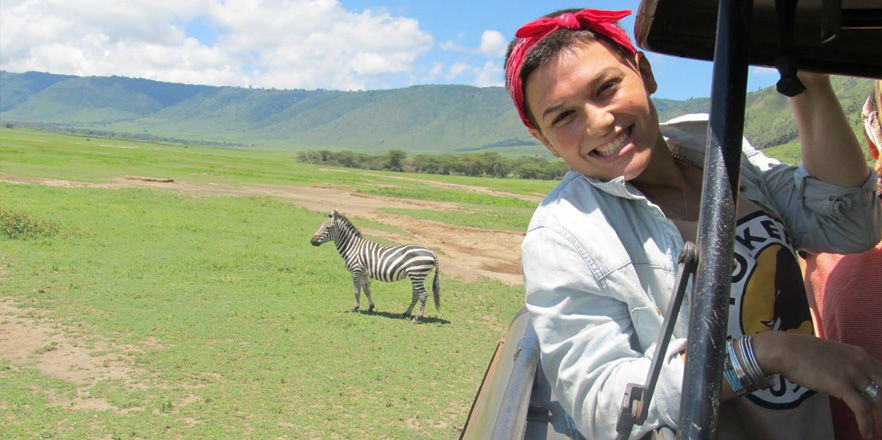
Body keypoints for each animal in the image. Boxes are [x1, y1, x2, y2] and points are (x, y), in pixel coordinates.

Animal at [312, 210, 440, 324]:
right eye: (320, 226)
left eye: (327, 228)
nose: (312, 241)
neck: (352, 247)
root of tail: (432, 252)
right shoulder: (363, 273)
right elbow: (367, 290)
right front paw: (371, 307)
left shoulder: (356, 271)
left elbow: (356, 291)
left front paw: (355, 308)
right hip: (415, 276)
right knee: (416, 294)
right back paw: (406, 313)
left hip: (417, 274)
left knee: (423, 295)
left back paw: (417, 318)